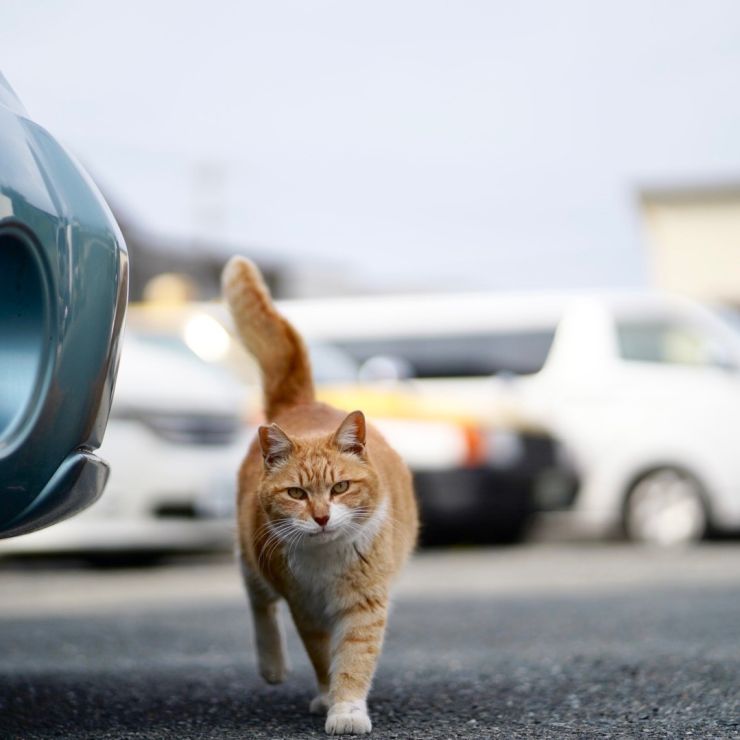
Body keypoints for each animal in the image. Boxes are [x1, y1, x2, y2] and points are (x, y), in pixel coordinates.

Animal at [221, 256, 416, 736]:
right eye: (296, 493)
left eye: (340, 487)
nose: (323, 516)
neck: (327, 560)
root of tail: (302, 404)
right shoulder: (305, 609)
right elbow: (324, 657)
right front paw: (330, 698)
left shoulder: (364, 605)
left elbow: (354, 658)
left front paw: (346, 709)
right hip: (251, 555)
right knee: (259, 602)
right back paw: (272, 667)